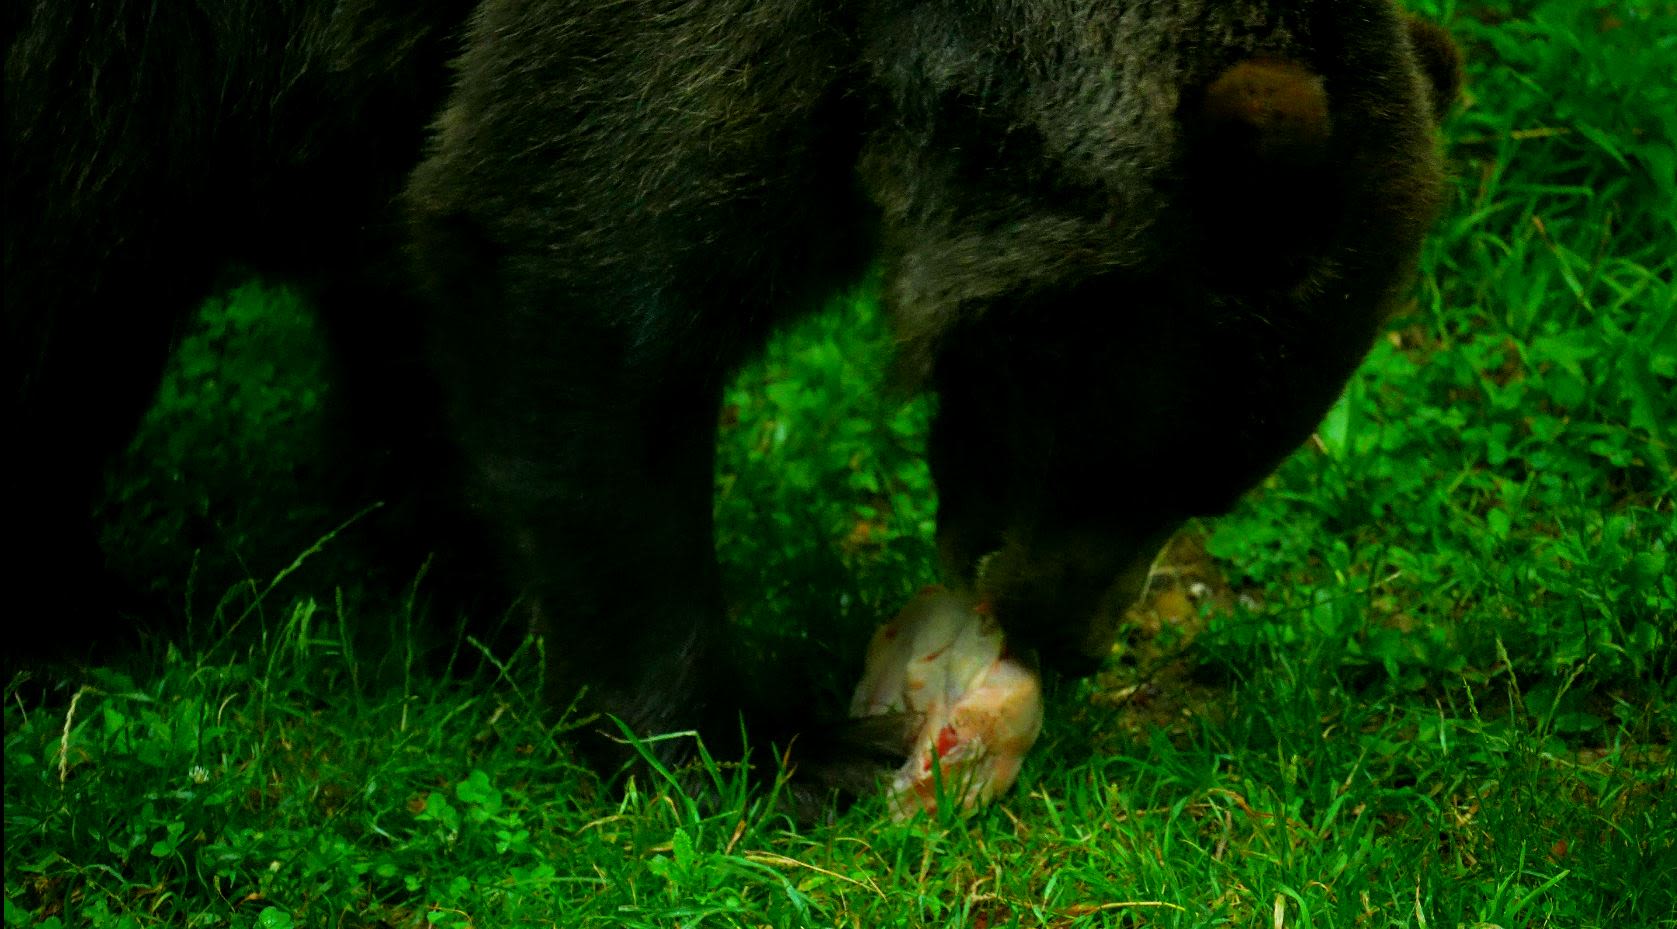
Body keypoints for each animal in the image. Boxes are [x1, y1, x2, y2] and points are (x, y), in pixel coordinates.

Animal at [3, 0, 1455, 794]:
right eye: (1148, 452)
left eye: (1219, 480)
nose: (1068, 634)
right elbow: (576, 261)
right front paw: (767, 746)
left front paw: (443, 586)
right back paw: (79, 625)